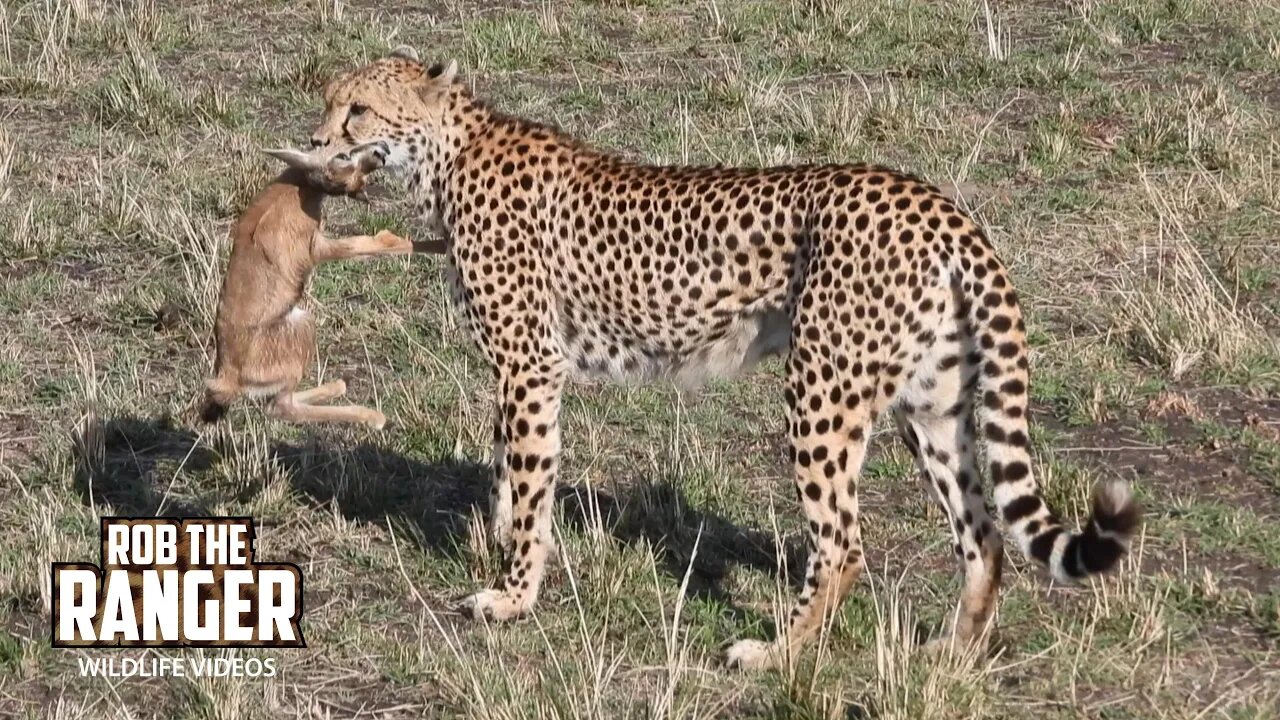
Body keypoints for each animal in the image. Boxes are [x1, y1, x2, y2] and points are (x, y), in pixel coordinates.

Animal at [307, 49, 1141, 666]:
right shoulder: (517, 370)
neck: (447, 156)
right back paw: (952, 655)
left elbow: (531, 482)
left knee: (844, 545)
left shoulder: (530, 366)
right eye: (327, 103)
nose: (315, 145)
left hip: (822, 393)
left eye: (358, 110)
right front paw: (496, 549)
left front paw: (511, 596)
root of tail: (937, 204)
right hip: (930, 404)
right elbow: (508, 478)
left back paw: (773, 654)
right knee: (984, 535)